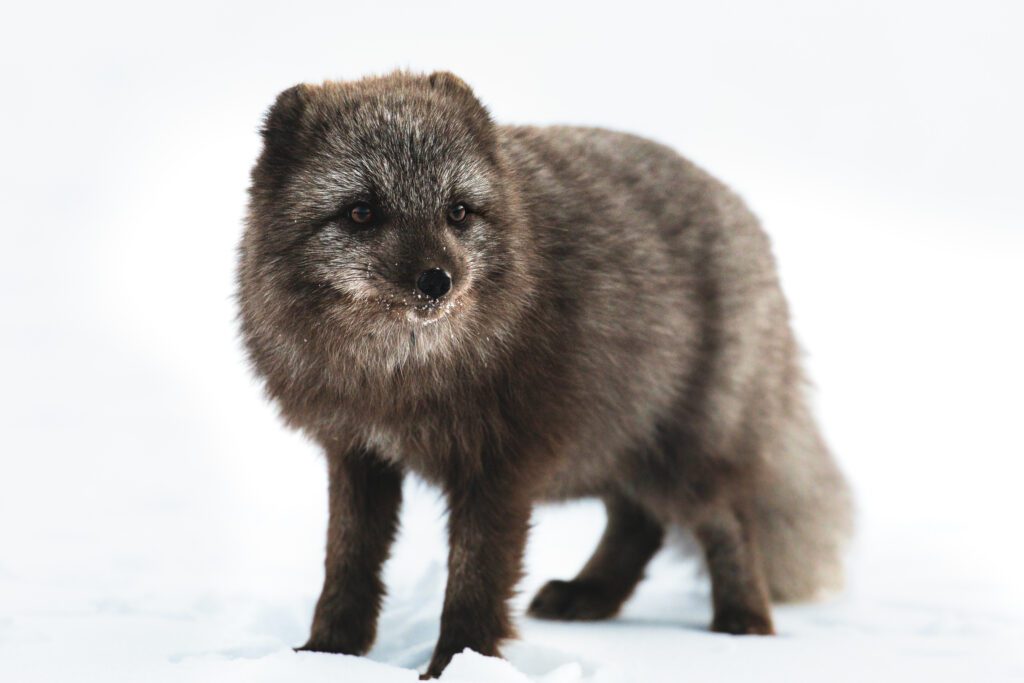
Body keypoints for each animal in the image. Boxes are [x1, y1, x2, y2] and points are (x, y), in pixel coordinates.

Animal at [236, 70, 852, 678]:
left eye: (458, 211)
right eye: (362, 211)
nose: (437, 281)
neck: (398, 377)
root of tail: (737, 208)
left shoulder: (501, 462)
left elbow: (476, 576)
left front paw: (458, 662)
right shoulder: (356, 451)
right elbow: (348, 561)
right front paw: (328, 653)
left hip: (682, 452)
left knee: (727, 518)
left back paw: (745, 627)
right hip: (617, 441)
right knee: (640, 521)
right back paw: (590, 595)